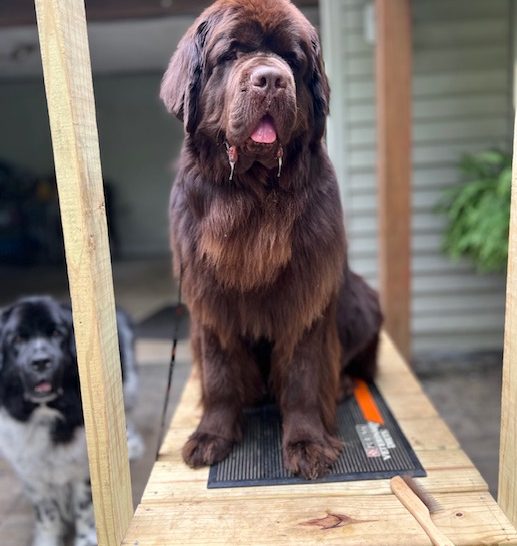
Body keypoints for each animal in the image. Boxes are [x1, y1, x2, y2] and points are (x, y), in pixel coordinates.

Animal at [0, 298, 143, 544]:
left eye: (57, 333)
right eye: (17, 339)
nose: (40, 362)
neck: (46, 412)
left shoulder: (83, 467)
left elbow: (85, 508)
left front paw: (86, 539)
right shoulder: (31, 471)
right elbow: (46, 512)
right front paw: (46, 540)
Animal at [161, 0, 382, 476]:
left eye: (292, 60)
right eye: (230, 53)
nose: (271, 78)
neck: (253, 194)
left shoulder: (307, 292)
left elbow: (302, 374)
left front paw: (307, 442)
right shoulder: (209, 299)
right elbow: (220, 373)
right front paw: (212, 436)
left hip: (362, 301)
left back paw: (340, 385)